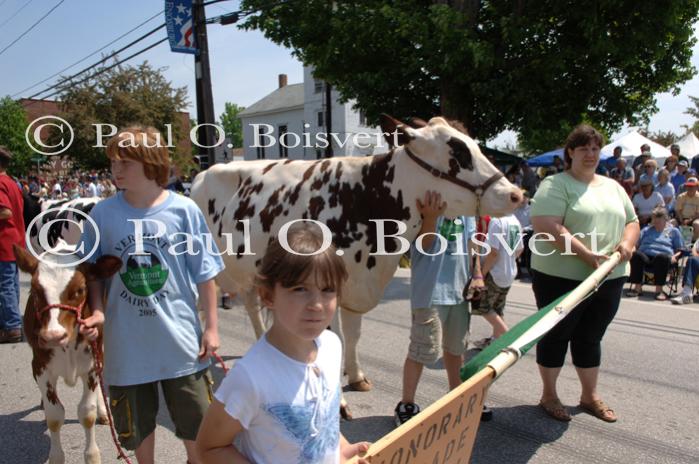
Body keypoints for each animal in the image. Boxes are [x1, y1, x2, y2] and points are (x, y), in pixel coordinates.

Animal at [13, 243, 121, 464]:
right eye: (35, 290)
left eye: (80, 289)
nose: (53, 336)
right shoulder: (40, 367)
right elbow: (55, 415)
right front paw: (56, 457)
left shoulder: (92, 364)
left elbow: (87, 413)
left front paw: (92, 456)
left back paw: (103, 412)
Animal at [189, 114, 524, 390]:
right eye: (458, 151)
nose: (516, 194)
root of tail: (204, 172)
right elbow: (329, 336)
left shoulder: (357, 284)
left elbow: (352, 335)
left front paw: (356, 375)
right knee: (202, 307)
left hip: (247, 269)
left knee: (250, 304)